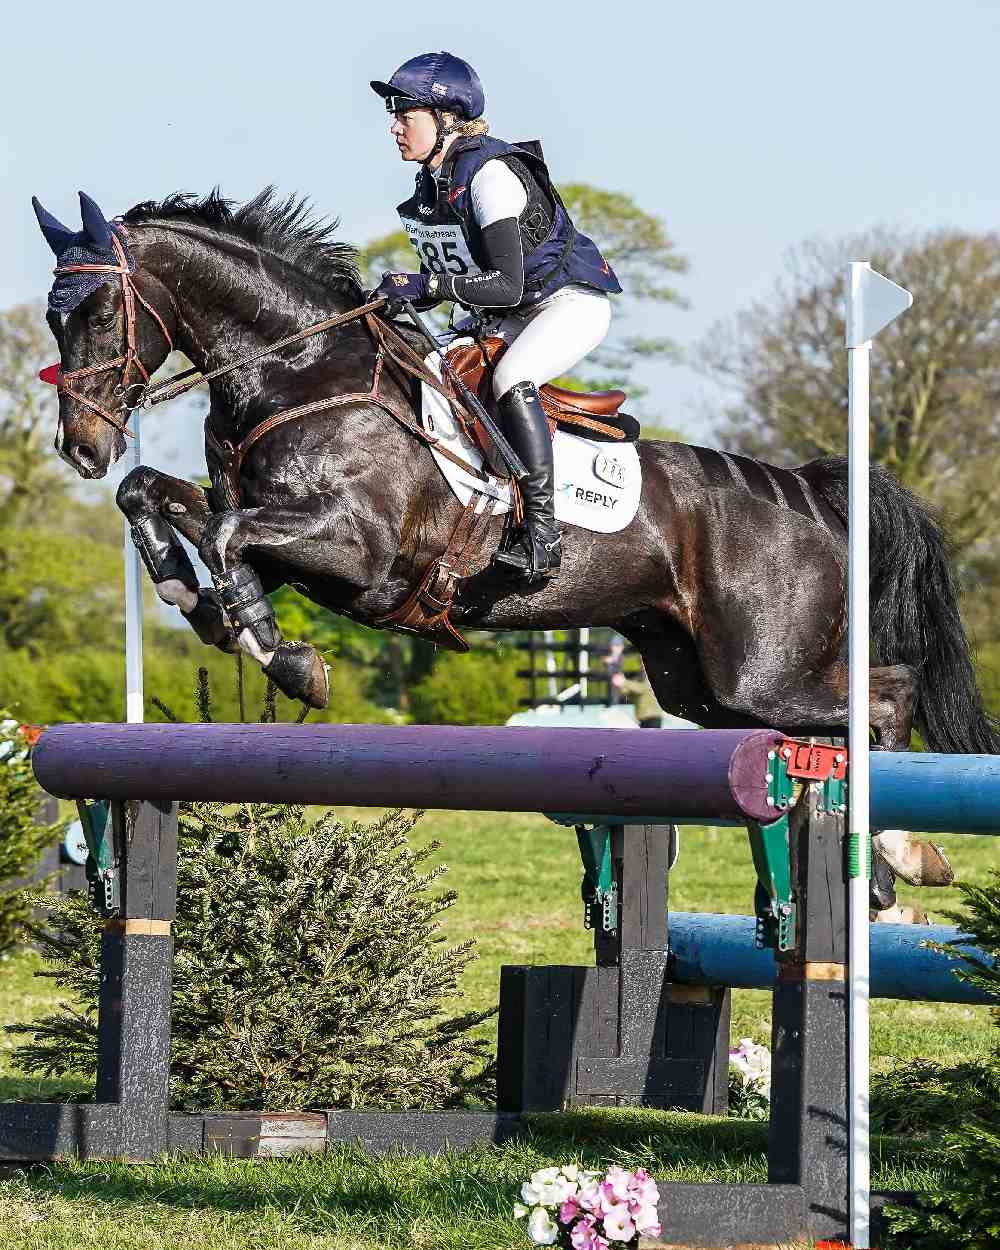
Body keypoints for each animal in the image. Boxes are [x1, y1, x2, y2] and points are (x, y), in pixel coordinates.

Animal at [35, 185, 995, 900]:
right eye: (54, 320)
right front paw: (191, 598)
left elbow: (230, 535)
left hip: (762, 670)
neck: (297, 370)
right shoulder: (280, 534)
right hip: (702, 687)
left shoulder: (362, 555)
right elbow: (160, 501)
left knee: (888, 697)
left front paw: (288, 660)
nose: (81, 446)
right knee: (838, 718)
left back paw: (901, 854)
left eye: (98, 311)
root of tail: (806, 491)